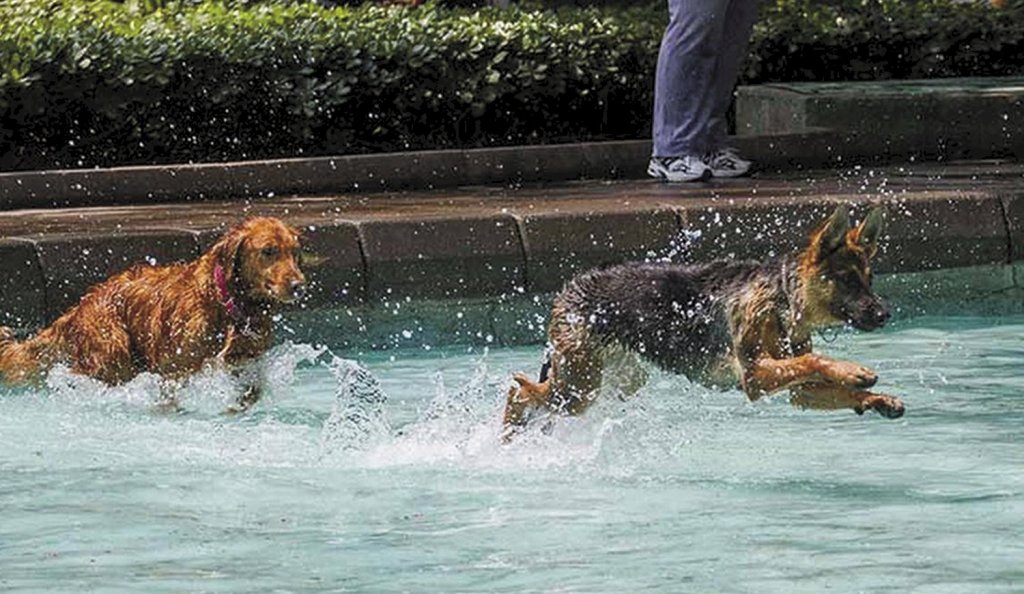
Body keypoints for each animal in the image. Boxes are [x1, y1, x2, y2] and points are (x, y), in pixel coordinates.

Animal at [0, 217, 305, 407]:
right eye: (268, 251)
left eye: (294, 252)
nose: (298, 285)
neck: (226, 302)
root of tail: (82, 304)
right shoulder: (175, 366)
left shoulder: (244, 360)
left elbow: (251, 390)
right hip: (113, 351)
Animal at [503, 206, 905, 438]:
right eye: (848, 280)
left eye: (870, 280)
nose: (884, 314)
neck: (781, 298)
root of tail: (569, 289)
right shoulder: (755, 376)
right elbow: (812, 360)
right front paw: (853, 371)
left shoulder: (798, 391)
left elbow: (812, 377)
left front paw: (875, 399)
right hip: (579, 387)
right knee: (520, 391)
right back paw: (508, 434)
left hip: (616, 378)